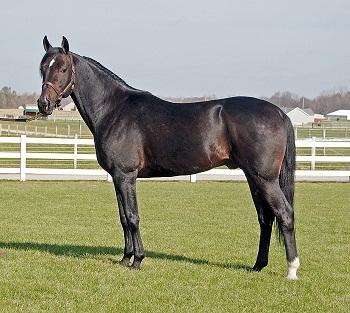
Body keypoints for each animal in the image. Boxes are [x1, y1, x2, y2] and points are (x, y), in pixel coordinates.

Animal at [38, 36, 300, 278]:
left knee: (284, 214)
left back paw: (292, 270)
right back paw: (257, 266)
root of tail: (280, 113)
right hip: (253, 178)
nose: (43, 104)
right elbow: (123, 217)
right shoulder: (116, 177)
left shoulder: (126, 175)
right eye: (42, 67)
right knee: (265, 219)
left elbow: (133, 217)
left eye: (62, 68)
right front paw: (125, 258)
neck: (114, 110)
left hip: (264, 179)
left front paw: (137, 260)